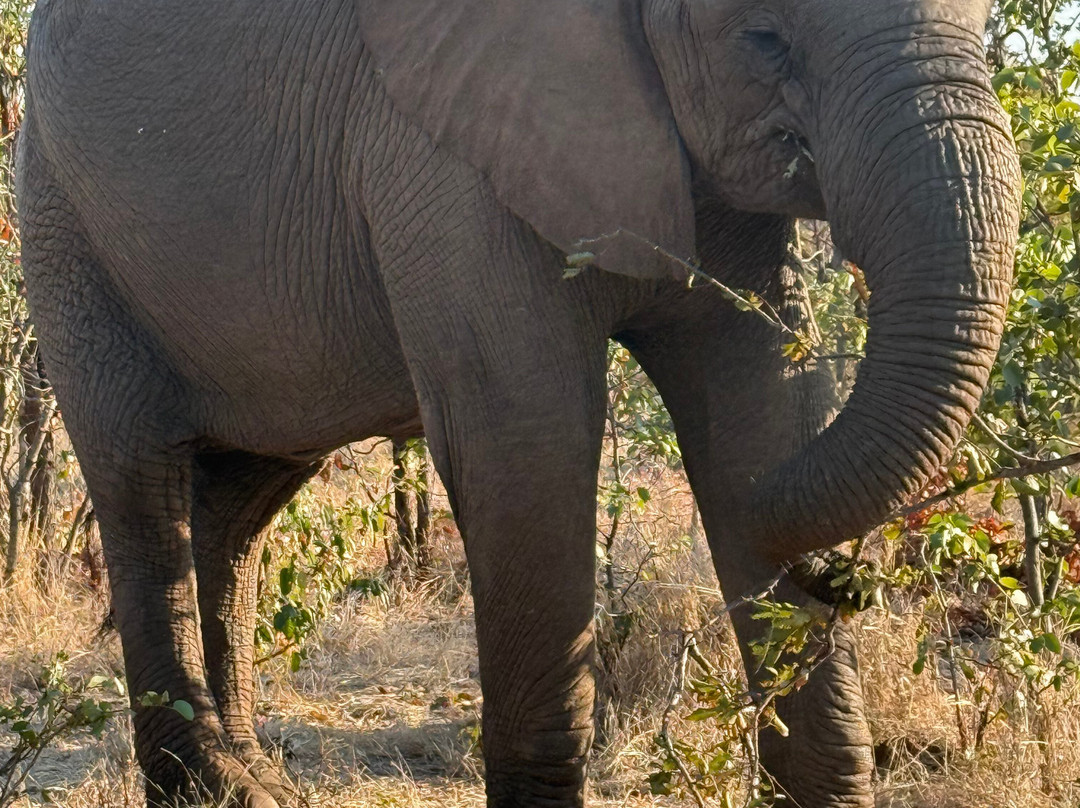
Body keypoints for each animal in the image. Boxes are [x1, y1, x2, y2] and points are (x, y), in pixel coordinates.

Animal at [15, 0, 1020, 804]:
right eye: (763, 37)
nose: (847, 577)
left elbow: (762, 408)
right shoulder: (441, 150)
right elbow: (529, 439)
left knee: (240, 501)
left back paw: (258, 780)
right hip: (63, 223)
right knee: (141, 484)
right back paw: (218, 787)